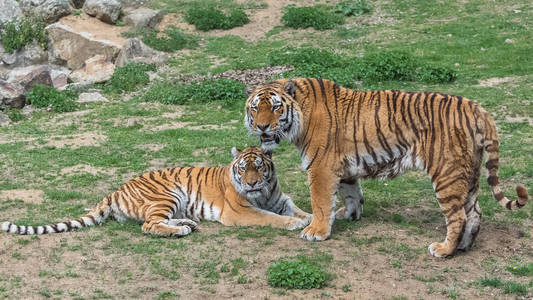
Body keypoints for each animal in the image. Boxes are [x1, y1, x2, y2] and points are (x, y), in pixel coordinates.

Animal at [2, 147, 312, 237]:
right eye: (244, 169)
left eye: (259, 168)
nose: (251, 184)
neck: (264, 192)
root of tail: (116, 190)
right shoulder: (241, 212)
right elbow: (270, 218)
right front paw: (294, 224)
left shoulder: (280, 199)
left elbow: (298, 208)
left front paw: (309, 219)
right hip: (167, 194)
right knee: (149, 225)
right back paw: (181, 230)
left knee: (155, 221)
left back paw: (187, 223)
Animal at [244, 78, 528, 258]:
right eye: (255, 108)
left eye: (276, 107)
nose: (262, 127)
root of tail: (477, 107)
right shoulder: (343, 168)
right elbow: (351, 194)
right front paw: (350, 215)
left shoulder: (321, 168)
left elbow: (321, 202)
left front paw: (317, 232)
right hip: (469, 175)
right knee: (475, 213)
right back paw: (464, 246)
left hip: (447, 172)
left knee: (458, 216)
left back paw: (444, 250)